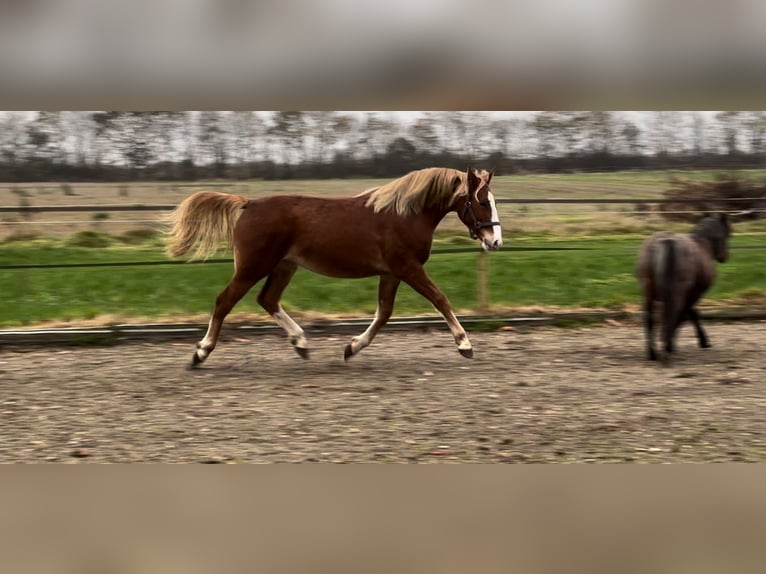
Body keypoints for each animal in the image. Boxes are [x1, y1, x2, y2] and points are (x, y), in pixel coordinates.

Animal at [166, 166, 504, 368]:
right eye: (482, 202)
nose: (496, 241)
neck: (403, 214)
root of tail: (249, 204)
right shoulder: (408, 268)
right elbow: (440, 299)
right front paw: (465, 345)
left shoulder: (391, 273)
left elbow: (384, 313)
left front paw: (351, 347)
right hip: (253, 267)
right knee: (224, 301)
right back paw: (200, 352)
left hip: (284, 267)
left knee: (268, 299)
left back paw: (301, 343)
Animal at [640, 214, 736, 362]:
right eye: (728, 233)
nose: (725, 256)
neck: (703, 245)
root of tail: (667, 241)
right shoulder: (695, 293)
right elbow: (688, 315)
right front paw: (703, 341)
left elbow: (689, 314)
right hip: (675, 293)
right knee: (672, 313)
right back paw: (667, 348)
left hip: (649, 291)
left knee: (650, 317)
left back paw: (652, 353)